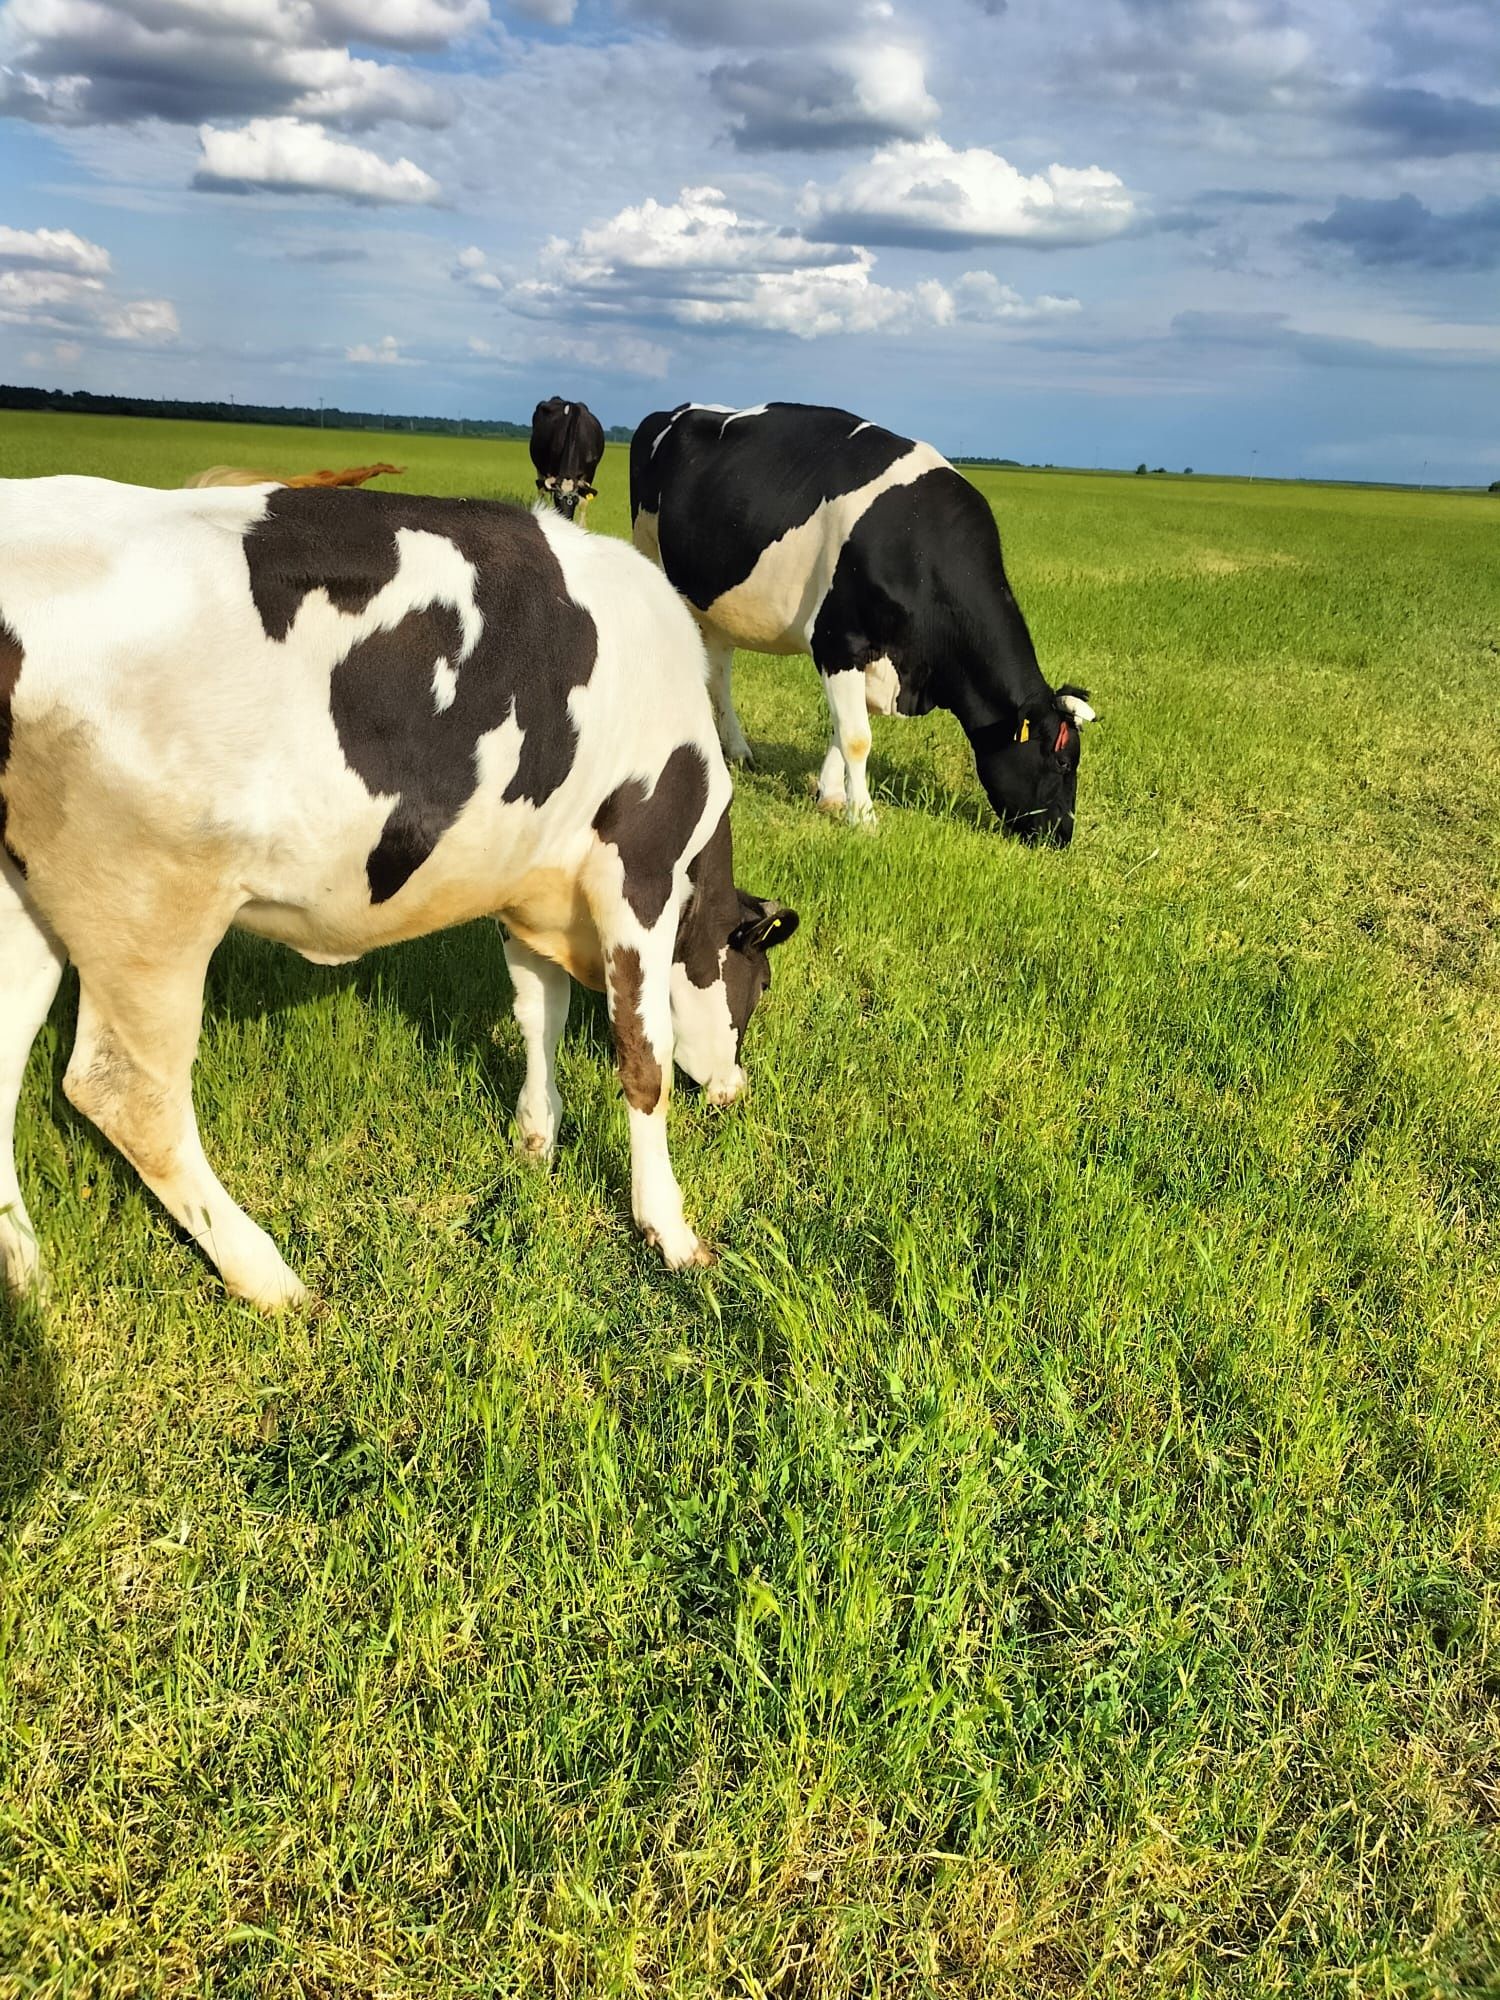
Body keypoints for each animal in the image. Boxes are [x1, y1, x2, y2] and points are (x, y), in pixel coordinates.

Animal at [0, 474, 800, 1304]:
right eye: (760, 983)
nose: (735, 1090)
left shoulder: (527, 883)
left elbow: (538, 1014)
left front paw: (535, 1140)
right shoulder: (639, 871)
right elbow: (645, 1056)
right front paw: (669, 1231)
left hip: (28, 900)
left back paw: (28, 1279)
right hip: (147, 903)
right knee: (125, 1093)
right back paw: (268, 1276)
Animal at [532, 396, 608, 524]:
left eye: (575, 500)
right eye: (557, 499)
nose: (566, 520)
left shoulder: (590, 473)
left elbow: (584, 503)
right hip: (539, 468)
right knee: (541, 491)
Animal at [628, 398, 1096, 844]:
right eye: (1061, 760)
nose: (1062, 835)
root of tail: (670, 412)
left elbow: (842, 728)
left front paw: (832, 796)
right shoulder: (838, 641)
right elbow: (857, 736)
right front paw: (864, 817)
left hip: (716, 605)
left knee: (718, 671)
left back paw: (737, 750)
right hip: (650, 557)